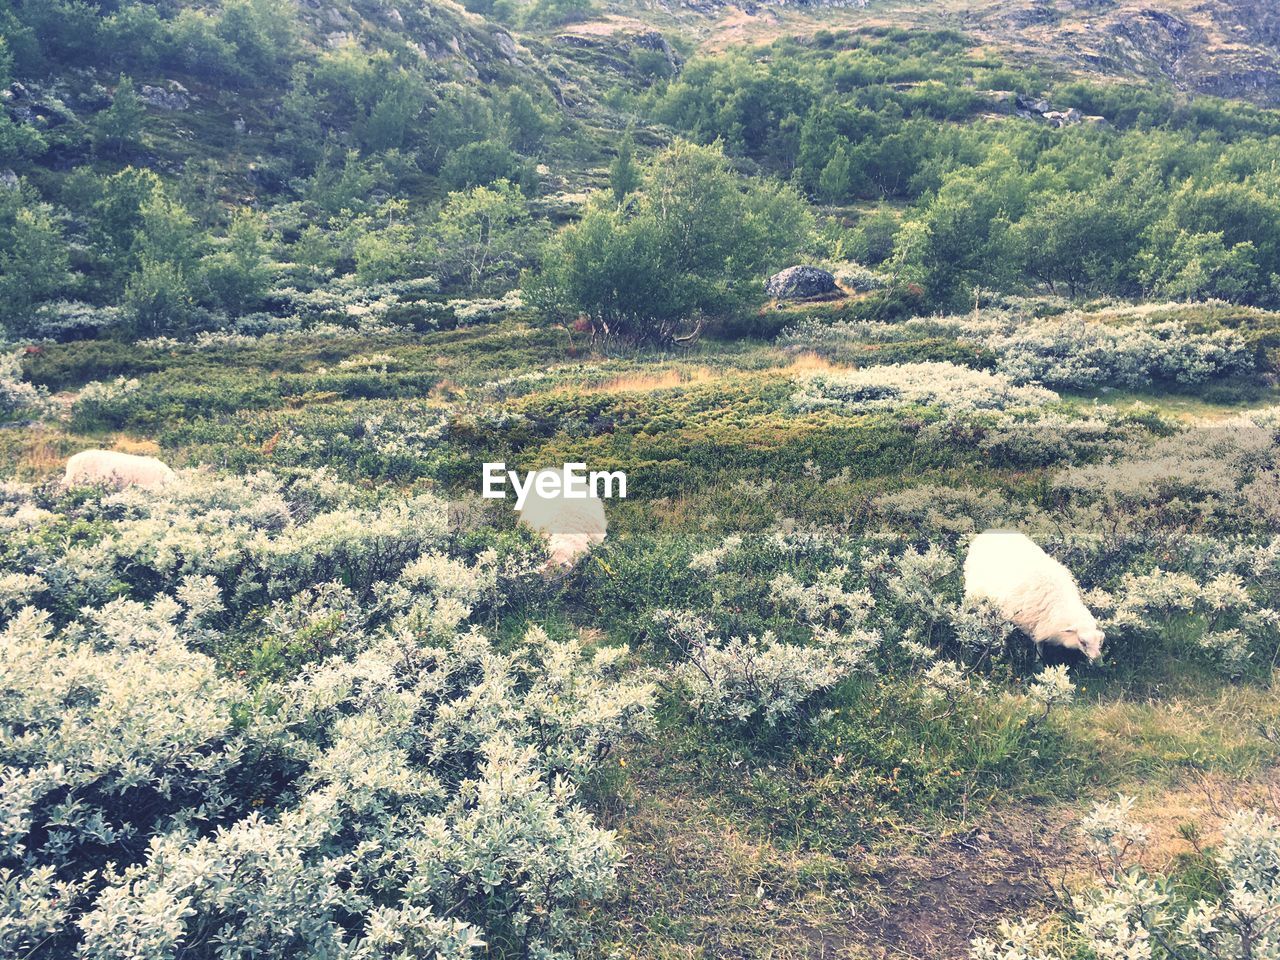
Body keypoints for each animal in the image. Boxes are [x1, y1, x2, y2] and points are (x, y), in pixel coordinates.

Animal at [962, 529, 1105, 665]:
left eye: (1100, 642)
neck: (1060, 603)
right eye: (1082, 642)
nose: (1099, 663)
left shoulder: (1040, 622)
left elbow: (1039, 643)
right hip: (974, 591)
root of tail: (987, 532)